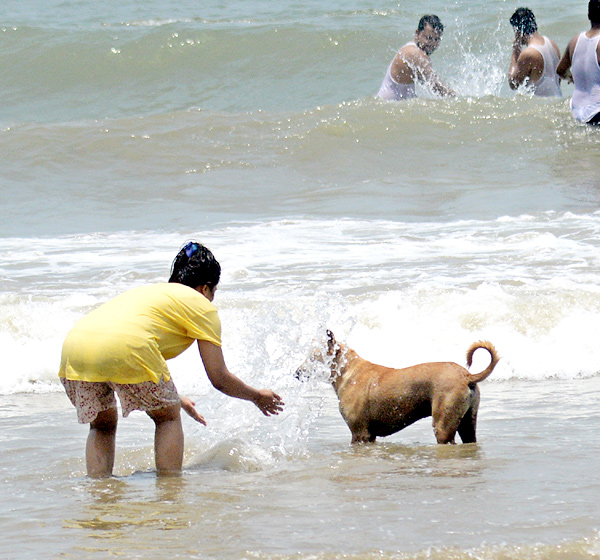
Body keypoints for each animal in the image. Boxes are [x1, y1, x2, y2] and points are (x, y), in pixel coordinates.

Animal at [298, 330, 500, 444]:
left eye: (313, 357)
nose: (297, 373)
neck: (348, 372)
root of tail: (466, 375)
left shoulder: (360, 434)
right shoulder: (369, 436)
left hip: (443, 425)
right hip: (467, 422)